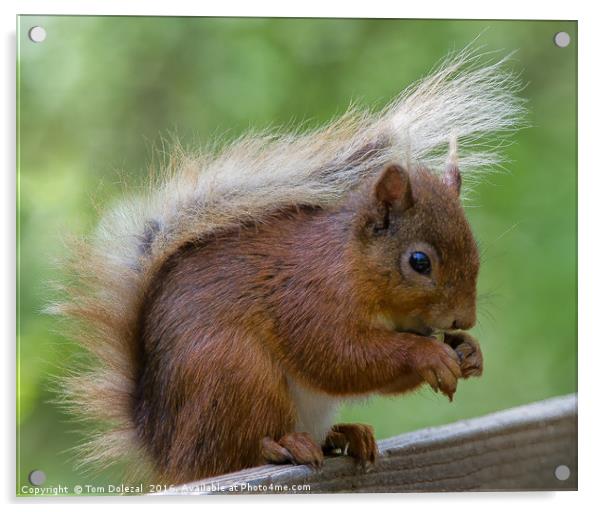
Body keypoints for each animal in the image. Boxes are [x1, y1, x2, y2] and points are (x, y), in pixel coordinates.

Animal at [54, 51, 524, 484]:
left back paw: (345, 434)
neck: (353, 265)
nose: (464, 319)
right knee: (230, 455)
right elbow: (338, 356)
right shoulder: (305, 296)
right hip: (232, 371)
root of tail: (163, 449)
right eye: (419, 262)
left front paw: (469, 351)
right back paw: (282, 445)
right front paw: (428, 353)